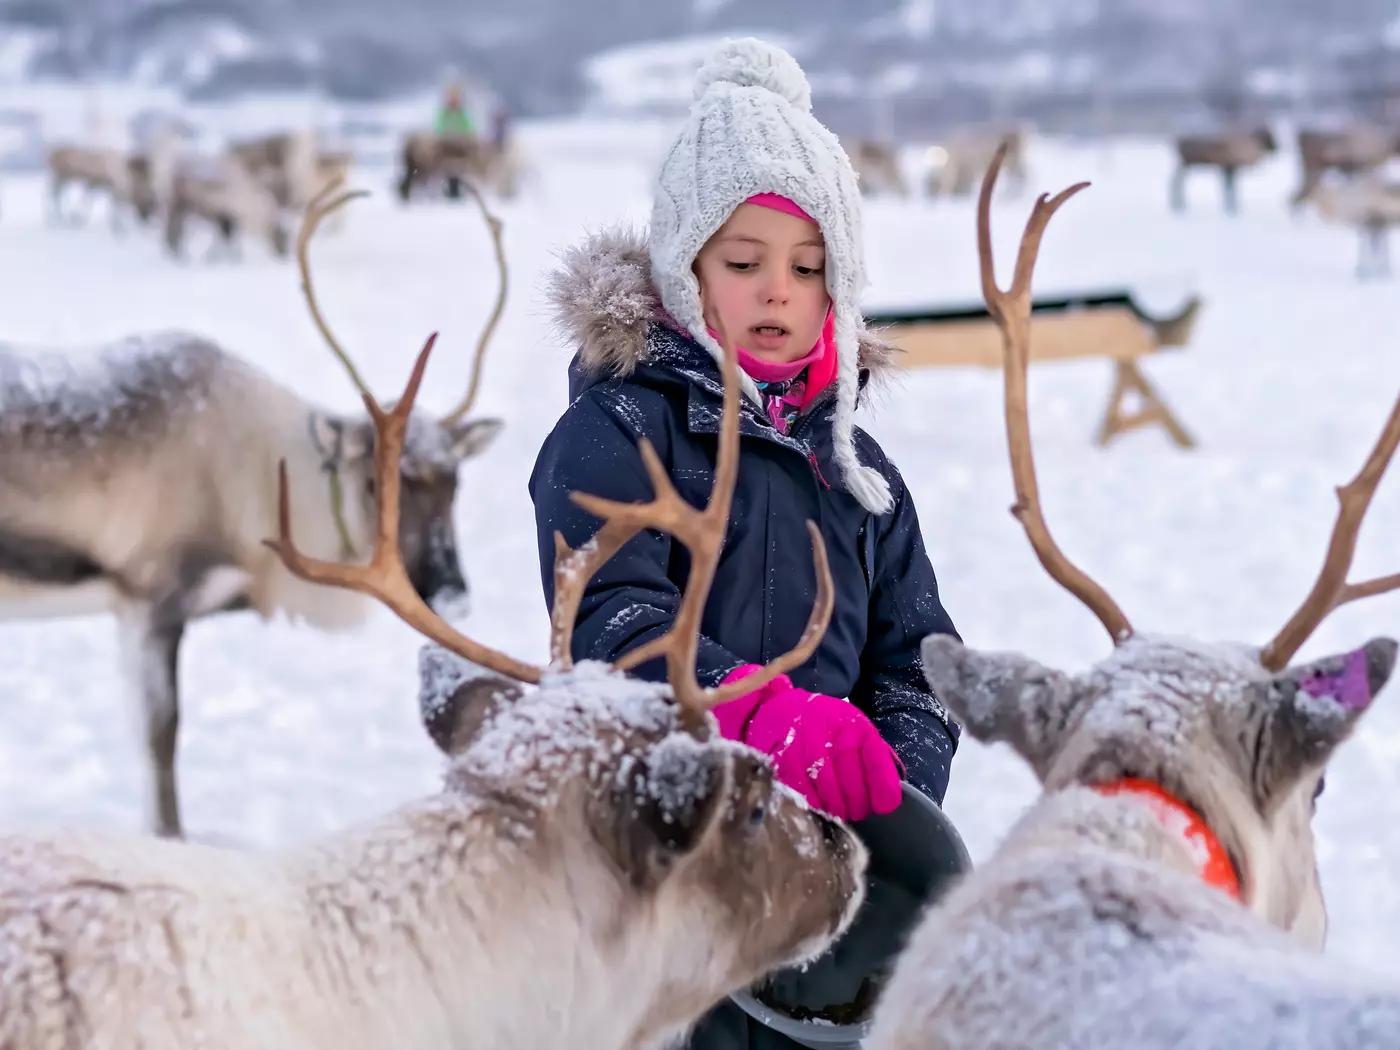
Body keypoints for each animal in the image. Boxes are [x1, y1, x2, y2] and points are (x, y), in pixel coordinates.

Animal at [0, 176, 508, 840]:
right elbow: (160, 741)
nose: (452, 592)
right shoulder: (150, 596)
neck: (263, 487)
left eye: (455, 482)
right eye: (375, 482)